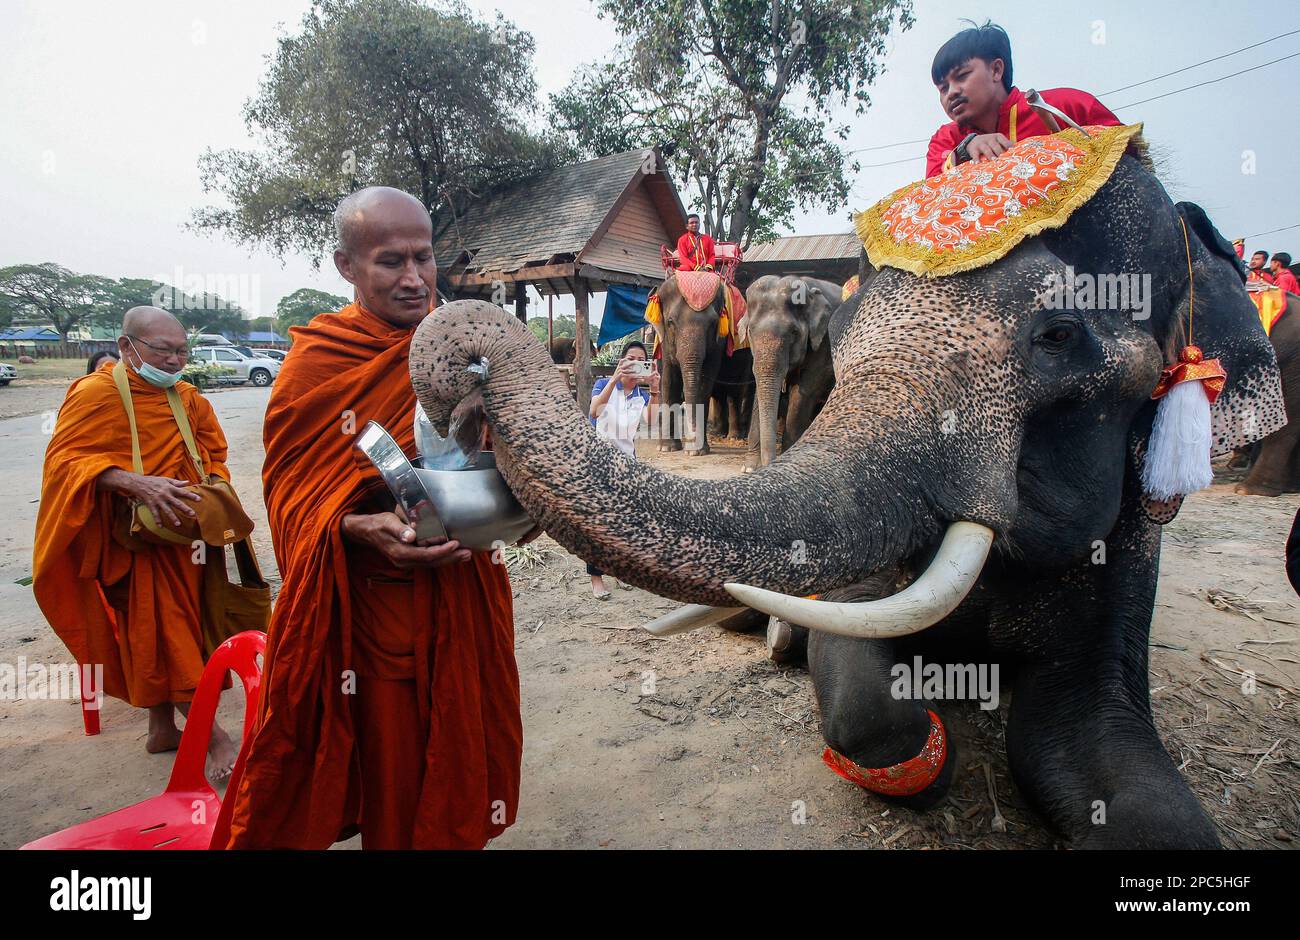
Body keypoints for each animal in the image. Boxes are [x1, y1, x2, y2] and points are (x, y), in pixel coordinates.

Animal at [743, 275, 842, 473]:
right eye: (750, 331)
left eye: (794, 332)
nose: (767, 465)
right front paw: (750, 468)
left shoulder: (824, 344)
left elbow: (803, 392)